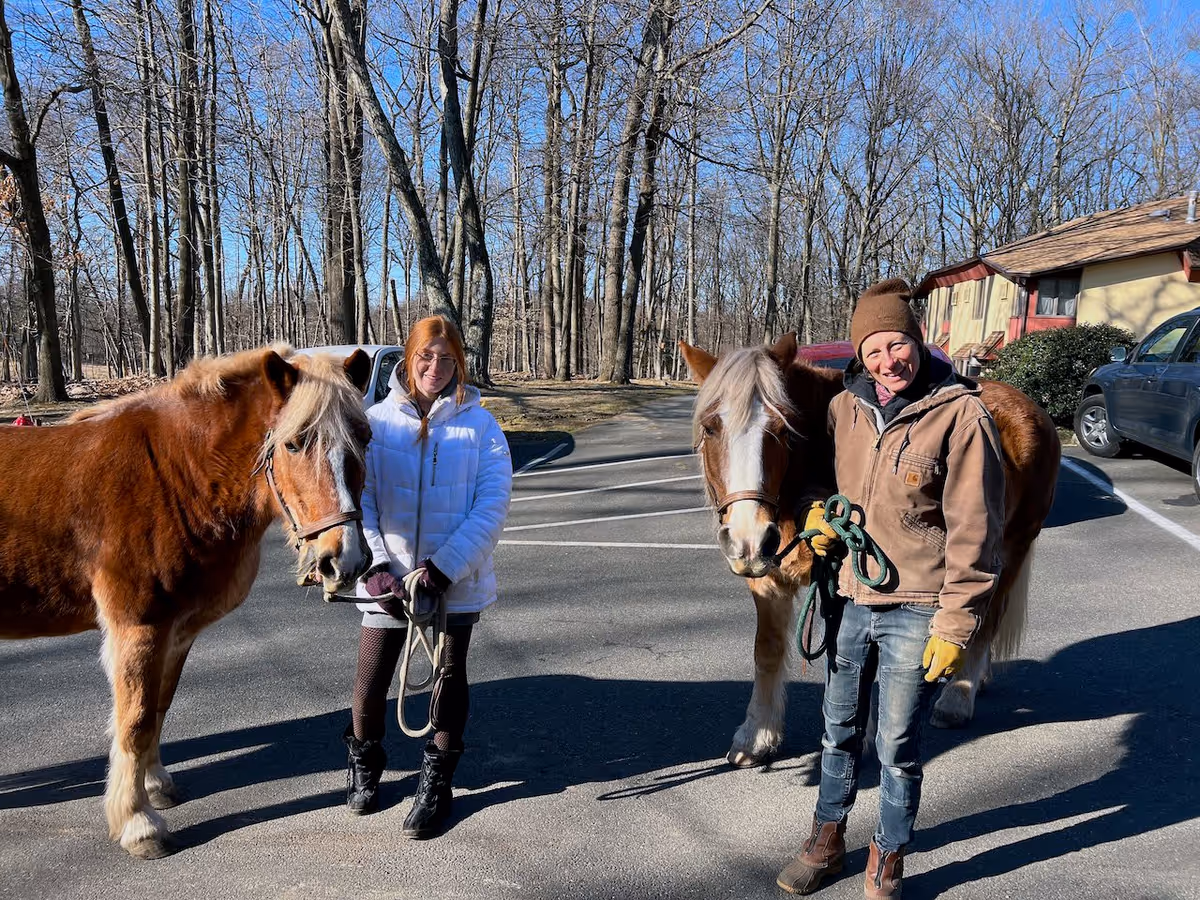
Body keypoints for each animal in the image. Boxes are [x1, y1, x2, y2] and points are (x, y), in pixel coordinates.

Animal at [0, 346, 373, 858]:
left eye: (366, 440)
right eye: (295, 444)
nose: (345, 559)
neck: (173, 475)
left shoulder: (176, 632)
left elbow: (158, 706)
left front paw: (155, 786)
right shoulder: (138, 628)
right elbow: (134, 721)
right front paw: (138, 824)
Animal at [679, 333, 1060, 767]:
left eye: (781, 429)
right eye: (711, 428)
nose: (749, 539)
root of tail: (1031, 408)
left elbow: (864, 660)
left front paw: (859, 736)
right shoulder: (769, 582)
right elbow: (768, 651)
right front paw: (758, 736)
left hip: (1008, 551)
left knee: (987, 618)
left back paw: (958, 697)